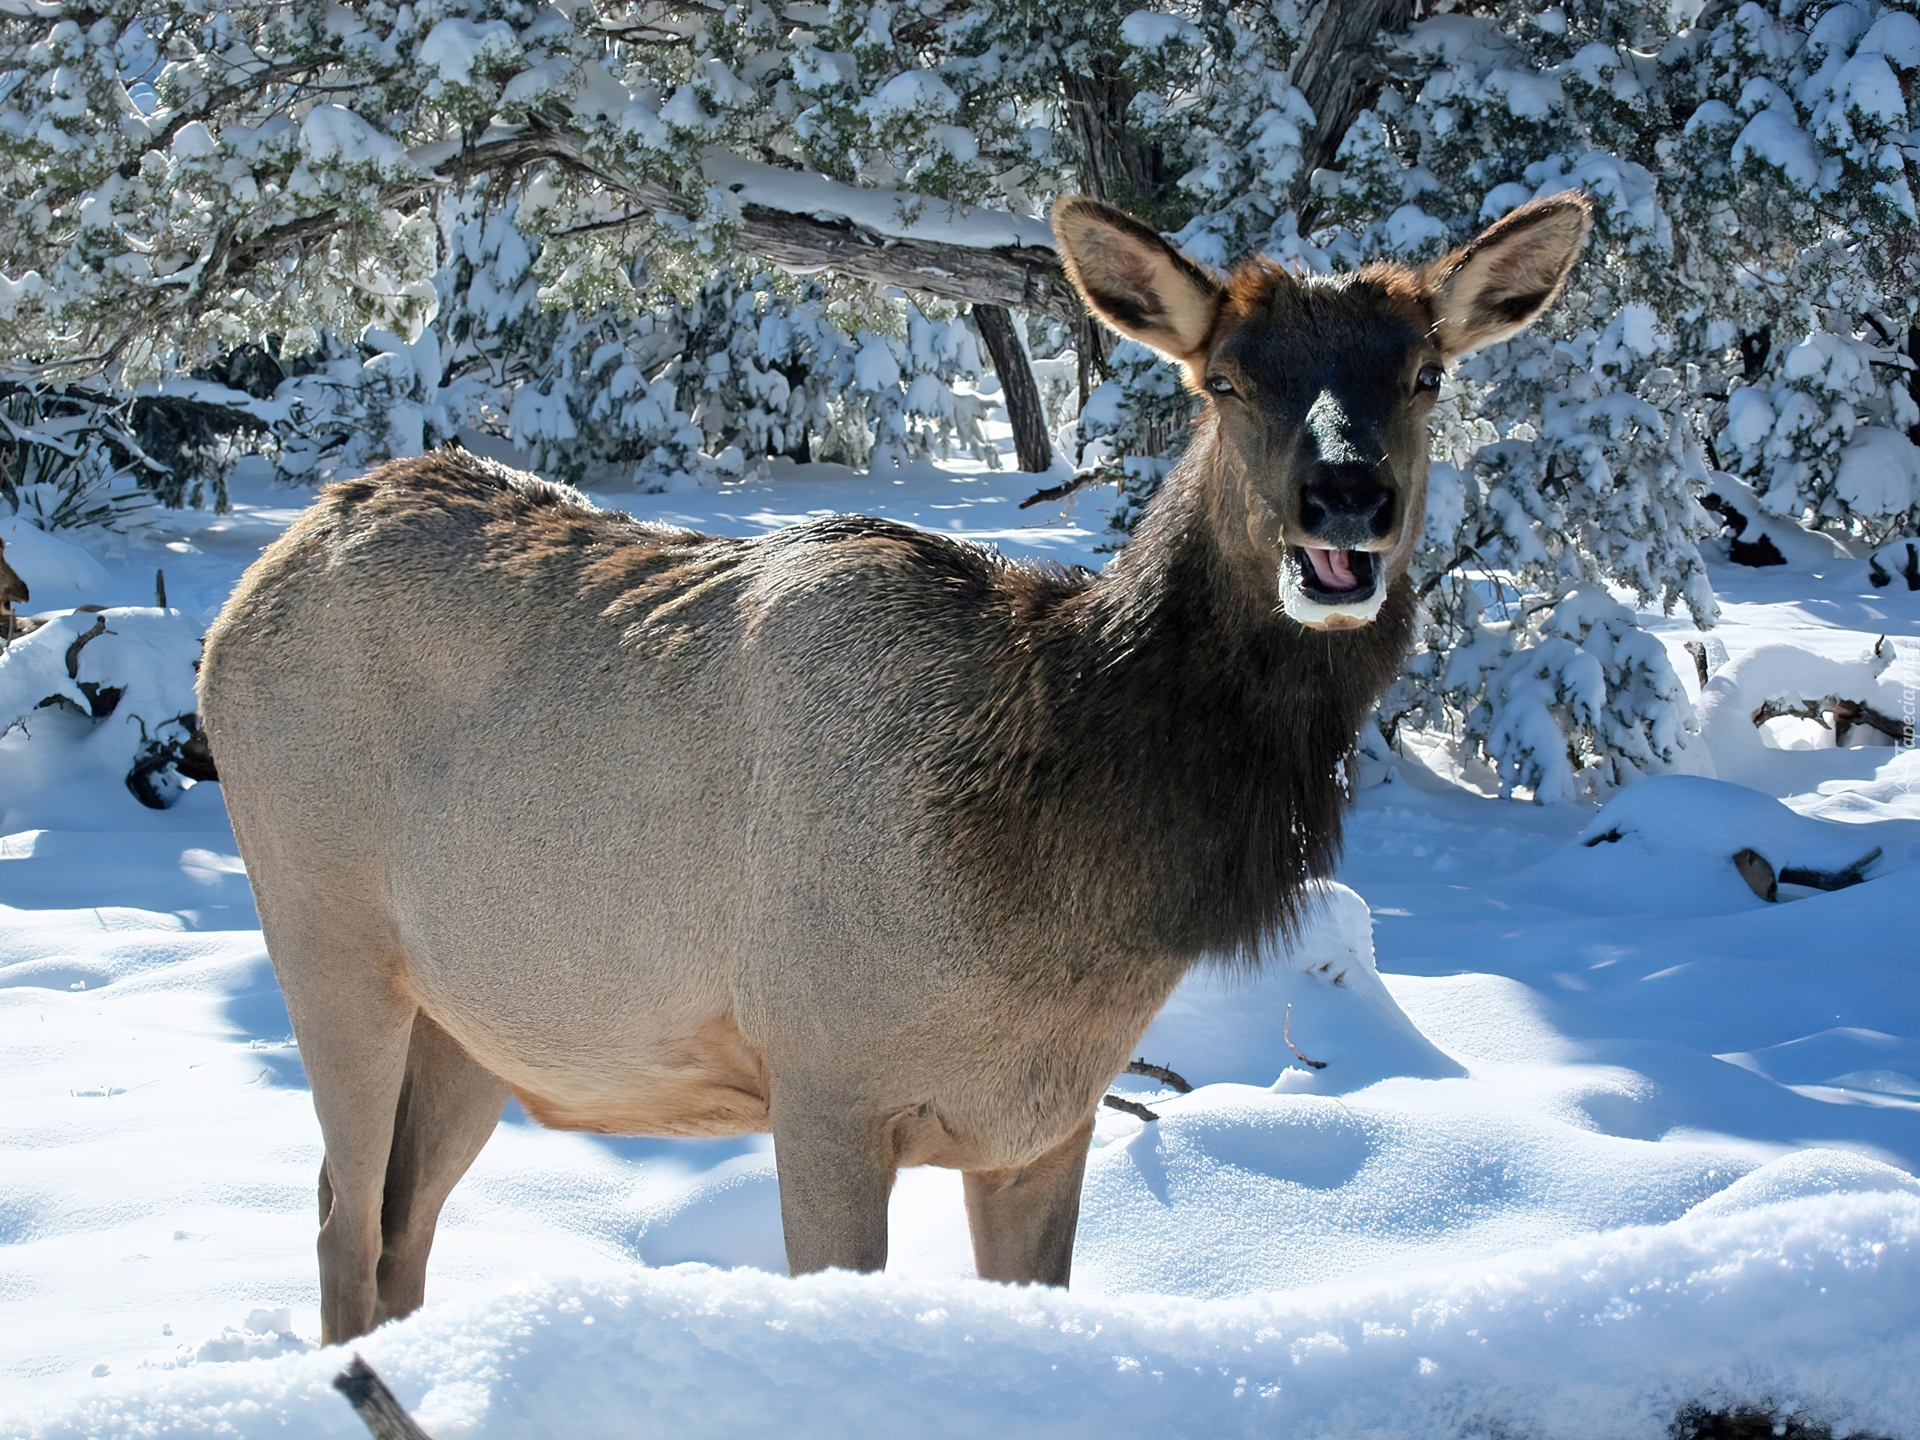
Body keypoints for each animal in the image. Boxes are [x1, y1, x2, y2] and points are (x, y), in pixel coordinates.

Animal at [202, 186, 1597, 1351]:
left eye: (1426, 372)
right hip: (325, 936)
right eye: (1229, 379)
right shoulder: (822, 1079)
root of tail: (253, 588)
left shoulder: (1045, 1120)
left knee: (398, 1224)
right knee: (339, 1219)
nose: (1345, 498)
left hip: (478, 1024)